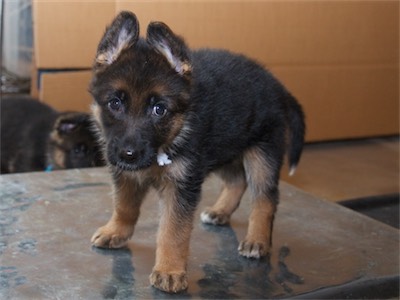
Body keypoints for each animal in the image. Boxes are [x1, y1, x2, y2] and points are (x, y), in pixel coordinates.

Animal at [89, 11, 304, 292]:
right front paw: (116, 232)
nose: (129, 154)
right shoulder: (126, 175)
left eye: (159, 109)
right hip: (226, 147)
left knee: (264, 198)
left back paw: (257, 240)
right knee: (237, 181)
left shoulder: (182, 185)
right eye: (115, 103)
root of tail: (279, 87)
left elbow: (173, 231)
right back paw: (220, 211)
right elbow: (124, 206)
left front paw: (169, 270)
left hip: (262, 154)